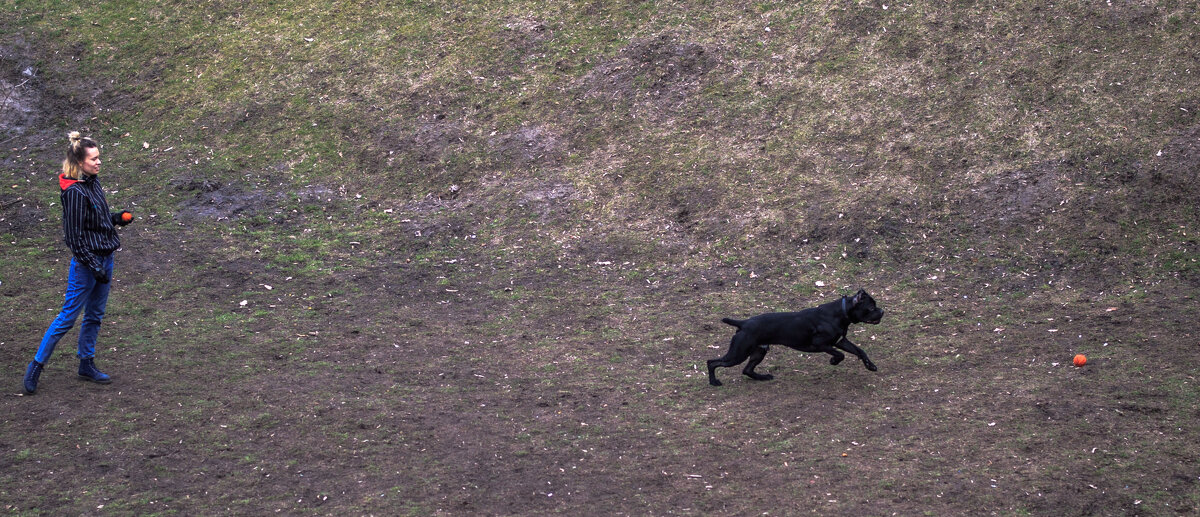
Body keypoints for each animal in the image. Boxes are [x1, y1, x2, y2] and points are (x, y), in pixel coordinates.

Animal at [700, 289, 883, 386]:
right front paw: (833, 361)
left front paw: (871, 366)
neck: (841, 313)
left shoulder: (841, 341)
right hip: (738, 354)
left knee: (747, 370)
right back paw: (714, 382)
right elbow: (841, 354)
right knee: (712, 362)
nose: (882, 311)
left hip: (758, 352)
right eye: (871, 307)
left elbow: (860, 351)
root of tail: (743, 323)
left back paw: (763, 377)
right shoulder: (821, 344)